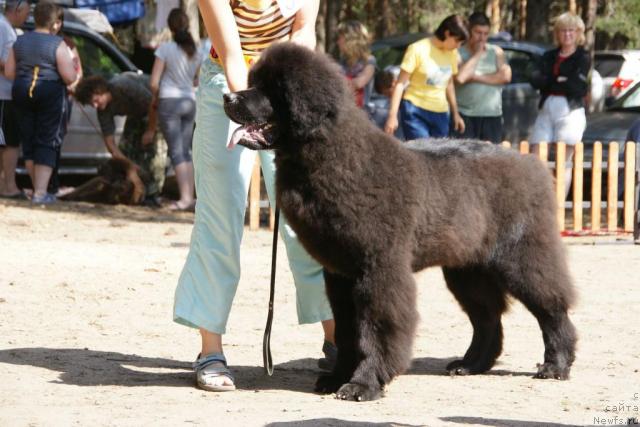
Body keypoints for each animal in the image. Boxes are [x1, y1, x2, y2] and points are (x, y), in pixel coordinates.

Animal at [222, 41, 576, 402]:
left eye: (271, 90)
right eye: (254, 83)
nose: (229, 97)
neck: (338, 160)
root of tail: (532, 164)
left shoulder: (379, 268)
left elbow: (378, 328)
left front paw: (363, 384)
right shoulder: (340, 274)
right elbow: (347, 330)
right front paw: (336, 377)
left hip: (521, 256)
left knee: (551, 307)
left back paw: (555, 365)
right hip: (466, 269)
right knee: (487, 316)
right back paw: (470, 364)